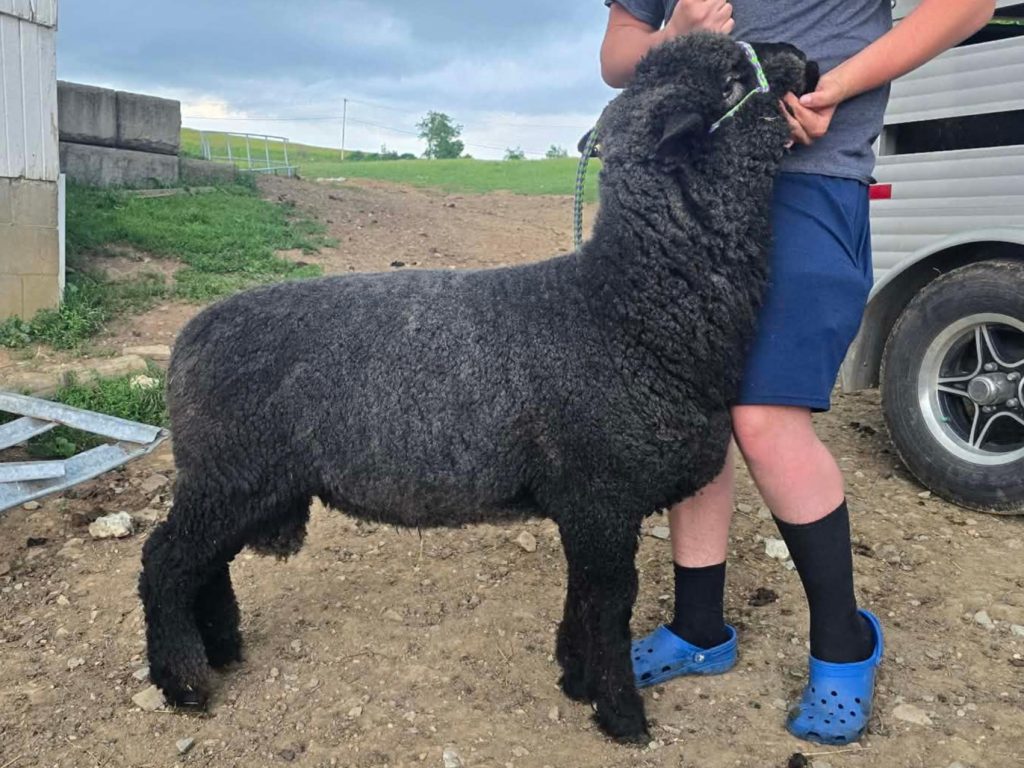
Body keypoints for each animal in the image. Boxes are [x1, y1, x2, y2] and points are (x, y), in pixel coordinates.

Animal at [139, 32, 817, 743]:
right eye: (732, 79)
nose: (805, 58)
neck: (625, 305)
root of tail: (187, 340)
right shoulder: (602, 495)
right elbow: (609, 605)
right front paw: (620, 713)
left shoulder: (583, 506)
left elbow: (581, 598)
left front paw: (574, 679)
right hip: (228, 473)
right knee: (167, 562)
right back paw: (183, 682)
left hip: (241, 481)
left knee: (206, 564)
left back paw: (221, 649)